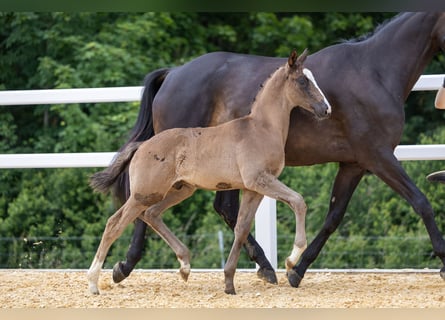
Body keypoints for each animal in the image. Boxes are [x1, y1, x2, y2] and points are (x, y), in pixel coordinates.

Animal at [87, 50, 330, 296]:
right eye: (303, 81)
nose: (326, 109)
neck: (261, 128)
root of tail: (141, 145)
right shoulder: (260, 180)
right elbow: (298, 201)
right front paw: (291, 259)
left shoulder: (254, 189)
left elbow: (241, 228)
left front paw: (229, 281)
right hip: (145, 193)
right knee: (115, 224)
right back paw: (93, 282)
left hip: (180, 190)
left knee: (152, 214)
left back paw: (184, 266)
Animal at [110, 12, 444, 288]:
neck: (373, 71)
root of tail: (174, 74)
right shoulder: (379, 157)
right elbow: (422, 202)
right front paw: (442, 260)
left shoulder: (354, 164)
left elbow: (334, 216)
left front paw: (297, 269)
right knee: (146, 204)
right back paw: (125, 265)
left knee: (224, 209)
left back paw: (264, 267)